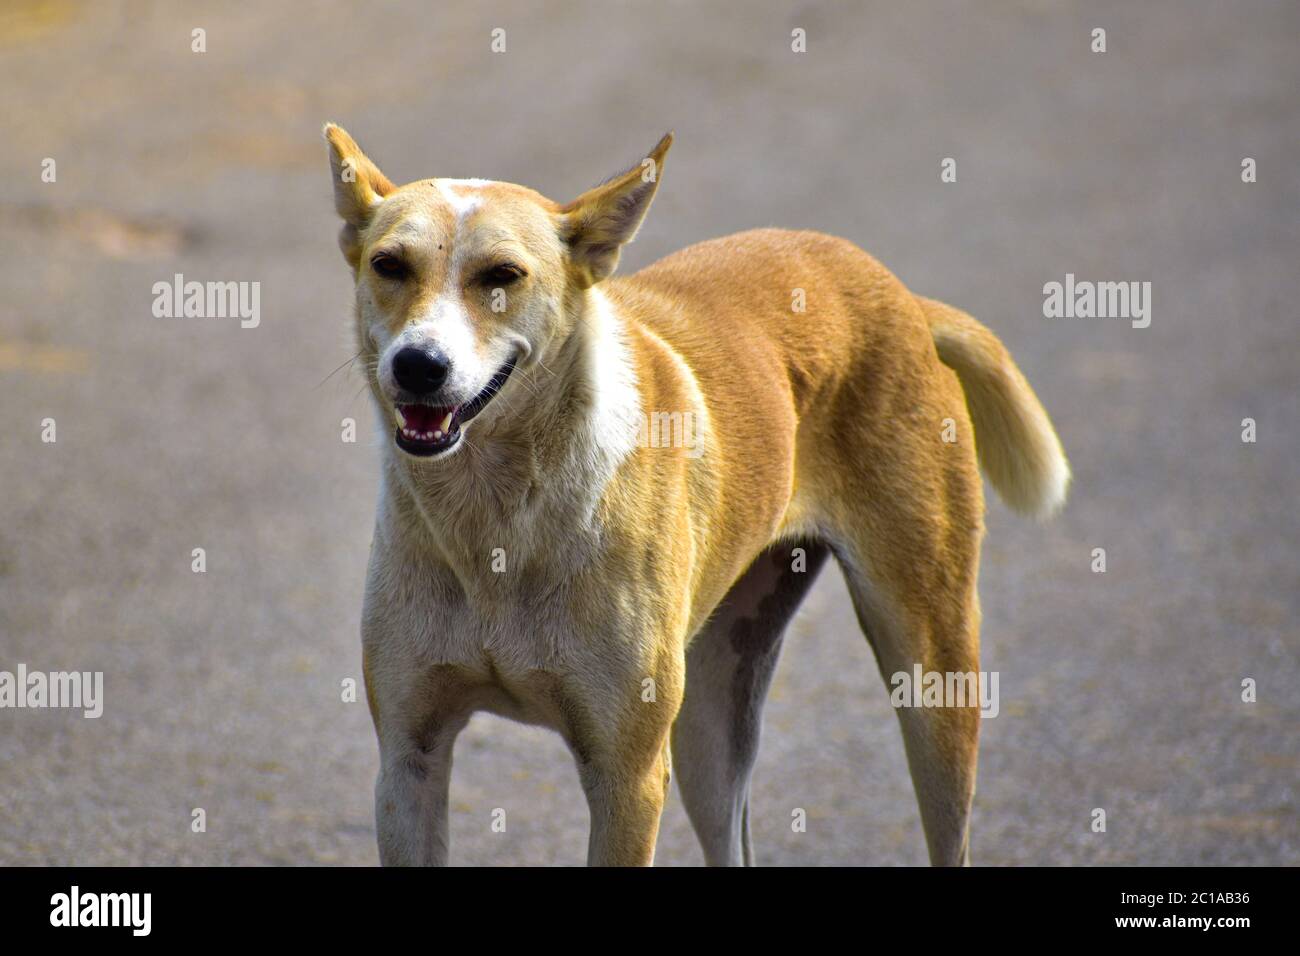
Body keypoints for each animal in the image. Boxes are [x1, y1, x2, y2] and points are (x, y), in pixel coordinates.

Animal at [325, 121, 1066, 868]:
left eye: (501, 276)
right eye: (389, 265)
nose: (418, 365)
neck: (499, 518)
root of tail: (904, 299)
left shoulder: (627, 778)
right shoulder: (409, 762)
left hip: (932, 677)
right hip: (712, 715)